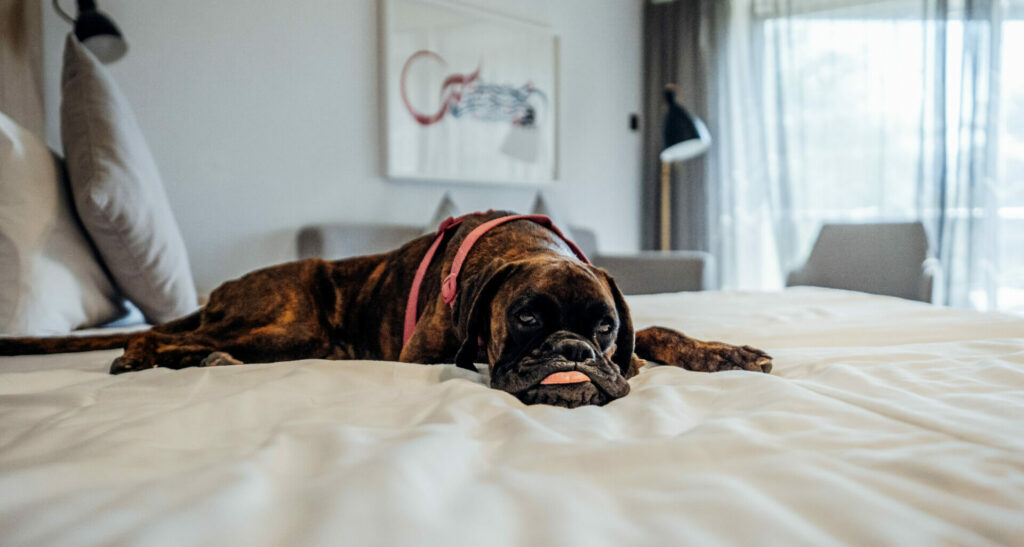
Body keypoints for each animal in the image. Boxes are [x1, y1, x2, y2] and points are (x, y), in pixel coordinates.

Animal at [0, 212, 770, 409]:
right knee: (164, 332)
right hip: (290, 322)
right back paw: (144, 356)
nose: (573, 354)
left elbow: (659, 331)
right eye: (526, 320)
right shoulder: (422, 353)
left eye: (603, 330)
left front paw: (723, 352)